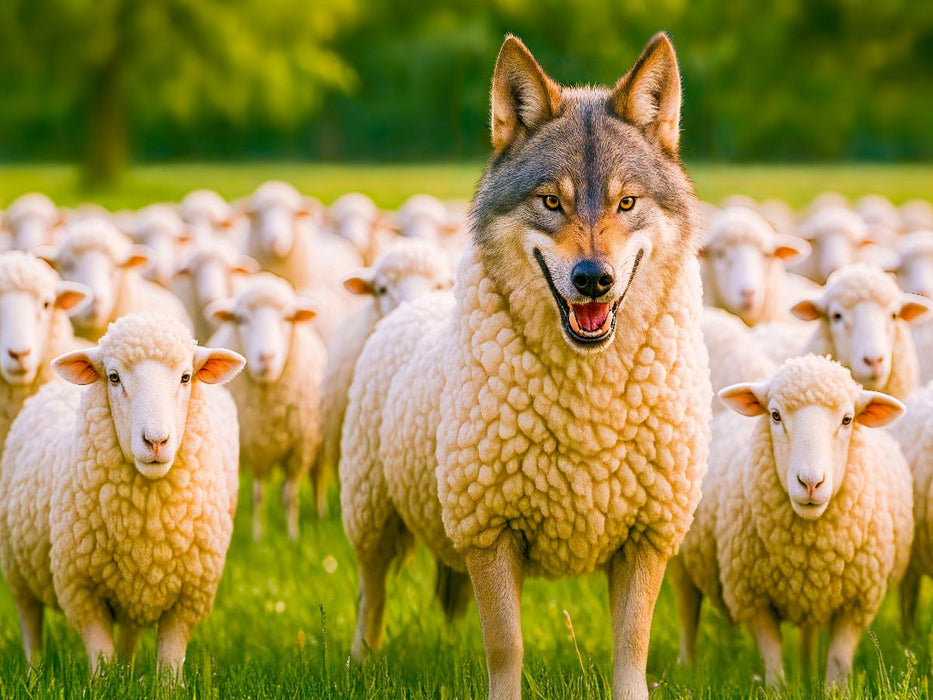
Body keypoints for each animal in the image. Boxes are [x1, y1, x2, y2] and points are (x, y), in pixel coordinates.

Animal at [340, 33, 711, 700]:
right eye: (551, 202)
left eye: (626, 202)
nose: (593, 280)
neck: (589, 399)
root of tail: (406, 304)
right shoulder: (489, 531)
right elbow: (506, 647)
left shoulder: (646, 538)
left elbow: (631, 651)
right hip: (372, 520)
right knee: (370, 596)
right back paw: (362, 665)